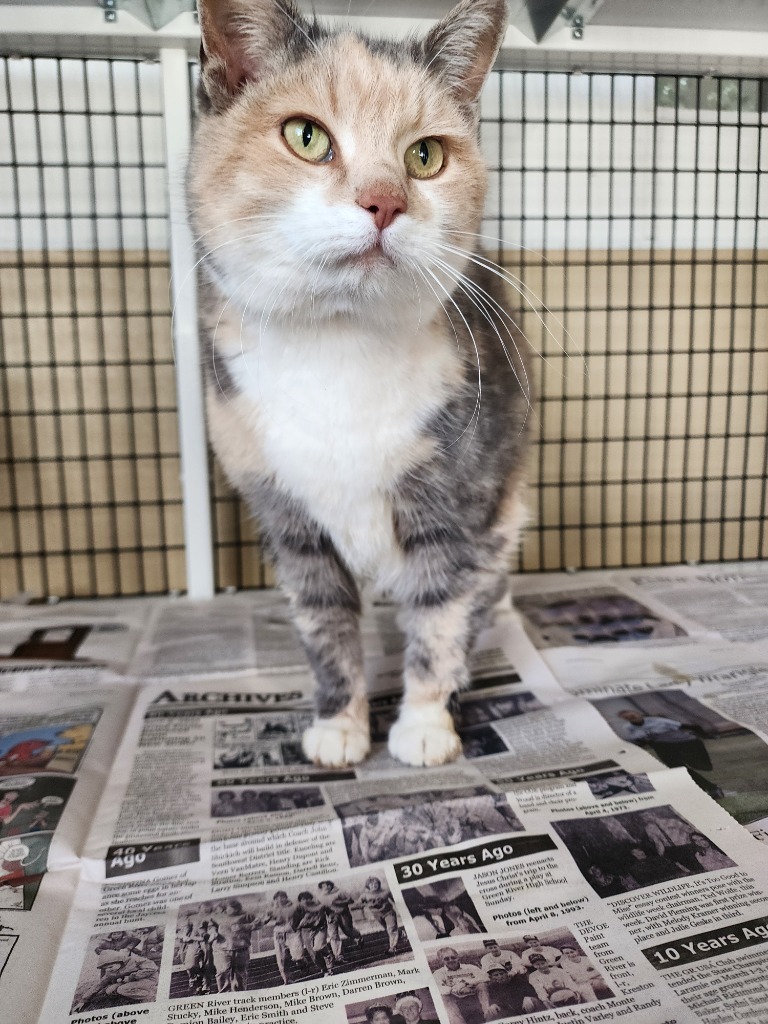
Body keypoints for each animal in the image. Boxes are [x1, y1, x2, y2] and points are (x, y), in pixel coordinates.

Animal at [189, 0, 532, 770]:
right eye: (306, 136)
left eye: (426, 156)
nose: (383, 201)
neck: (338, 347)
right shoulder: (289, 522)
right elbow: (324, 626)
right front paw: (339, 726)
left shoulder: (459, 503)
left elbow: (439, 614)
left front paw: (425, 726)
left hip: (507, 505)